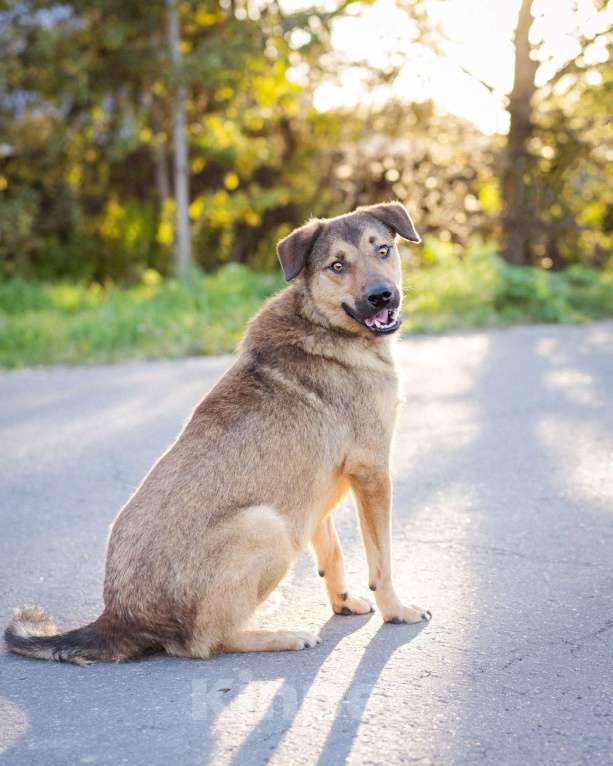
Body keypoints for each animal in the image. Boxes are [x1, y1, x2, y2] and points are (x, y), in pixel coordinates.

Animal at [3, 201, 430, 664]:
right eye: (338, 265)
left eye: (383, 249)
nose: (382, 295)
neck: (322, 321)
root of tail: (118, 618)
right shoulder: (372, 472)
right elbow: (382, 560)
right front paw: (397, 611)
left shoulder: (315, 494)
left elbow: (331, 552)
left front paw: (343, 603)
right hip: (268, 526)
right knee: (204, 642)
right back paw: (279, 635)